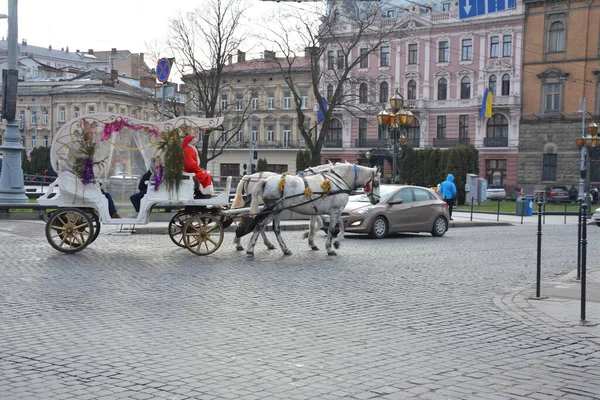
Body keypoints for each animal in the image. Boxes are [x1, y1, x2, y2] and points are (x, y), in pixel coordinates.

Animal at [247, 162, 380, 256]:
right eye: (377, 183)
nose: (378, 200)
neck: (339, 180)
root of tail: (265, 180)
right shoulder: (335, 211)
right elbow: (331, 229)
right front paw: (329, 248)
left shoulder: (335, 211)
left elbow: (341, 226)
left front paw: (336, 242)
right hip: (275, 210)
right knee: (260, 224)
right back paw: (250, 248)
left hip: (276, 210)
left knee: (275, 228)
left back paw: (284, 249)